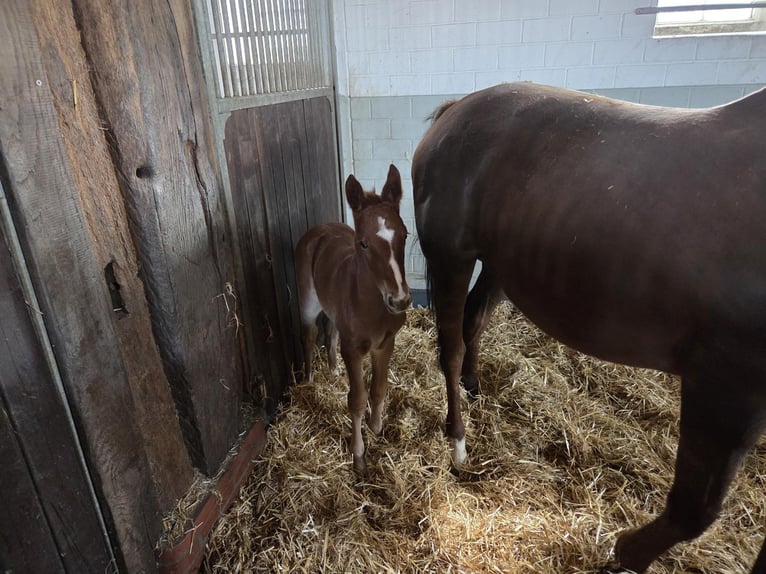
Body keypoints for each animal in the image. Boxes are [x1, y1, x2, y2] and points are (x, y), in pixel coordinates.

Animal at [295, 164, 411, 473]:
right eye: (363, 243)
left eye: (405, 234)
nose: (400, 300)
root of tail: (320, 229)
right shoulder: (353, 350)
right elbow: (357, 400)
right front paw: (358, 455)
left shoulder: (385, 344)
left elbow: (379, 390)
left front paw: (377, 428)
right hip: (307, 303)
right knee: (310, 335)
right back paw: (310, 380)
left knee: (331, 330)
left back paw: (334, 371)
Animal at [411, 81, 766, 573]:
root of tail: (457, 109)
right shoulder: (726, 388)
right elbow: (694, 511)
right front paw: (624, 555)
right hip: (452, 258)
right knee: (450, 347)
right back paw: (459, 443)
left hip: (500, 261)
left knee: (474, 321)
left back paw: (474, 387)